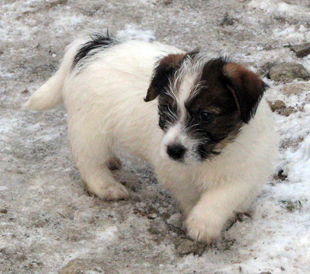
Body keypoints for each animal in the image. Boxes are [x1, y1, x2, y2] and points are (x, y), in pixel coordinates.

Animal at [25, 33, 278, 242]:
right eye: (167, 108)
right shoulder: (174, 173)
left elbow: (221, 197)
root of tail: (93, 45)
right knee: (90, 163)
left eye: (205, 116)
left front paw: (203, 222)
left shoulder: (245, 173)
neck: (213, 153)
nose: (173, 151)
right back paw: (107, 186)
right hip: (90, 128)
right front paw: (198, 222)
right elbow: (191, 196)